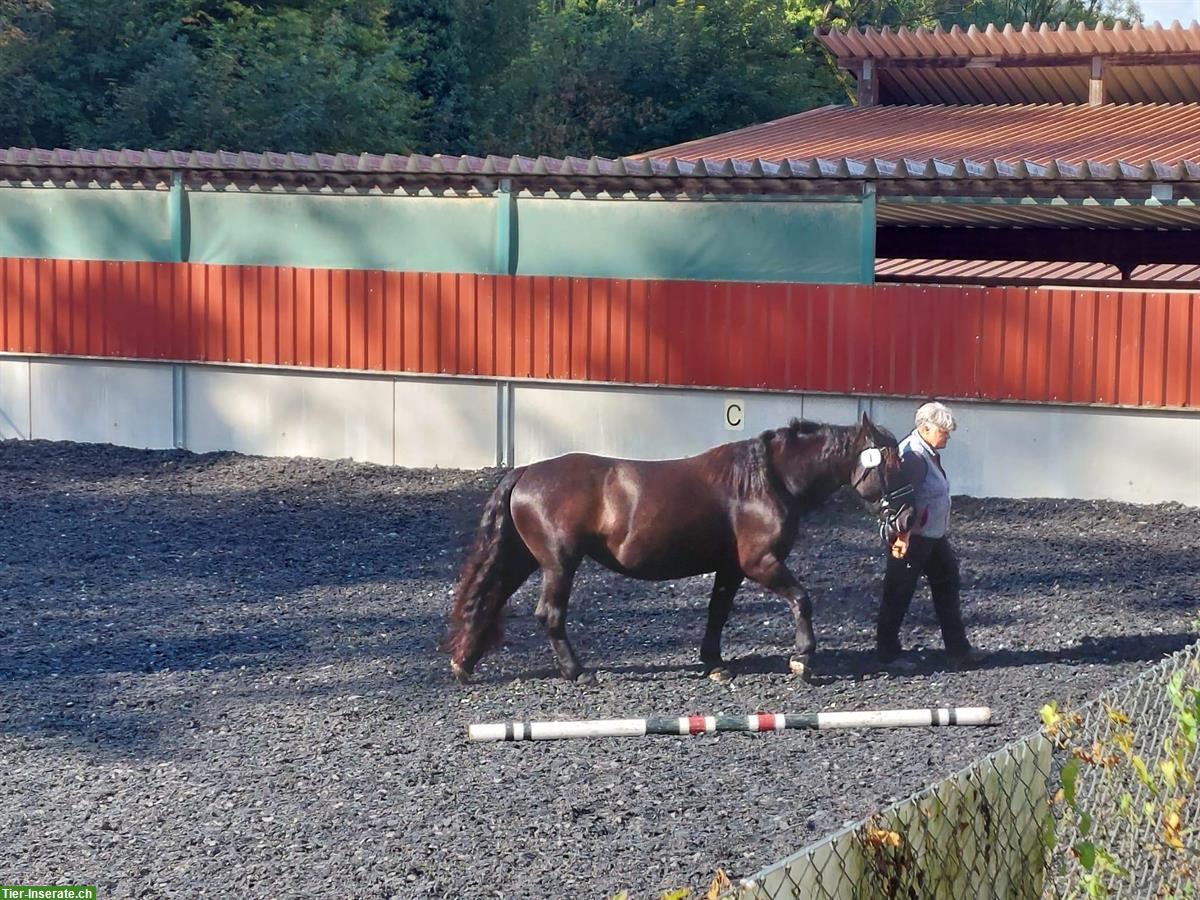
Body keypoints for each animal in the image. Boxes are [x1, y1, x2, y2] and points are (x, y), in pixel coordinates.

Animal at [446, 415, 902, 681]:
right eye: (891, 462)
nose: (901, 516)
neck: (766, 481)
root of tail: (525, 472)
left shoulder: (731, 567)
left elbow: (718, 612)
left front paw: (714, 663)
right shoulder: (760, 562)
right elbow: (802, 599)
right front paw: (803, 659)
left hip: (525, 559)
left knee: (489, 599)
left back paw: (464, 663)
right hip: (559, 564)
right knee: (550, 615)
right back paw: (576, 671)